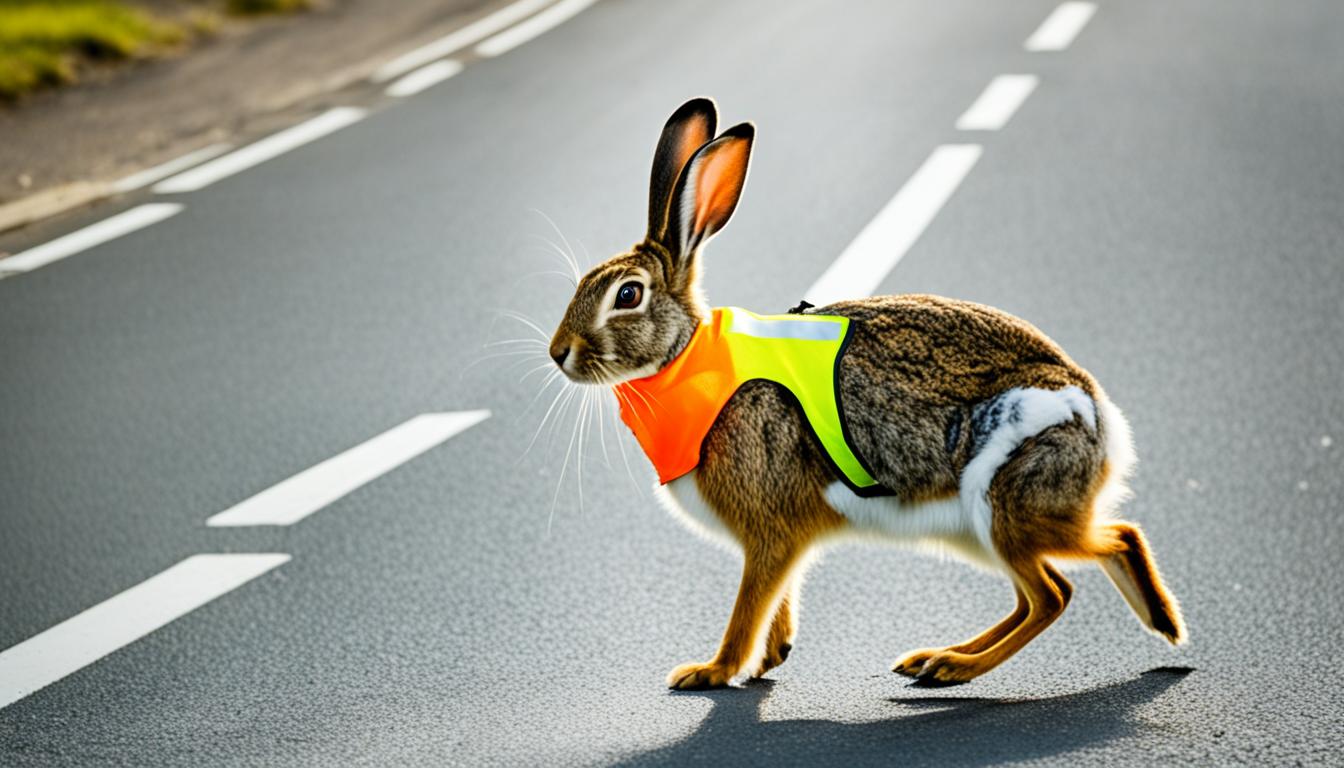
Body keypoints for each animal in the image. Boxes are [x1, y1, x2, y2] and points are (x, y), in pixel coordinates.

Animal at [546, 97, 1186, 689]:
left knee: (1066, 582)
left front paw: (712, 671)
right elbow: (780, 598)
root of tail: (1101, 421)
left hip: (1004, 502)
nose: (558, 353)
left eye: (628, 295)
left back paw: (961, 666)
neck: (689, 358)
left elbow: (749, 607)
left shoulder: (769, 530)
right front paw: (770, 660)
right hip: (978, 530)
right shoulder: (788, 542)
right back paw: (943, 657)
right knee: (1068, 573)